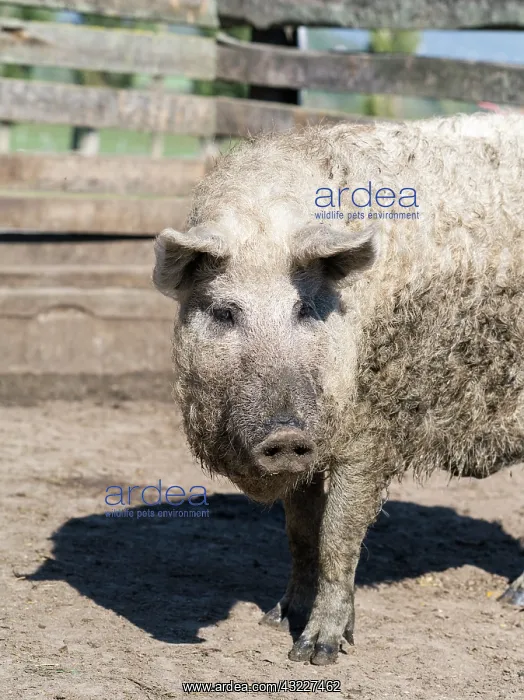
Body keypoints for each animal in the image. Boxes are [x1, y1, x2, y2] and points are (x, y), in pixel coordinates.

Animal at [153, 112, 524, 665]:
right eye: (223, 312)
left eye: (305, 308)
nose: (284, 434)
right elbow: (300, 532)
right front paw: (275, 618)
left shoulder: (370, 430)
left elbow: (337, 536)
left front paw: (315, 652)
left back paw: (512, 600)